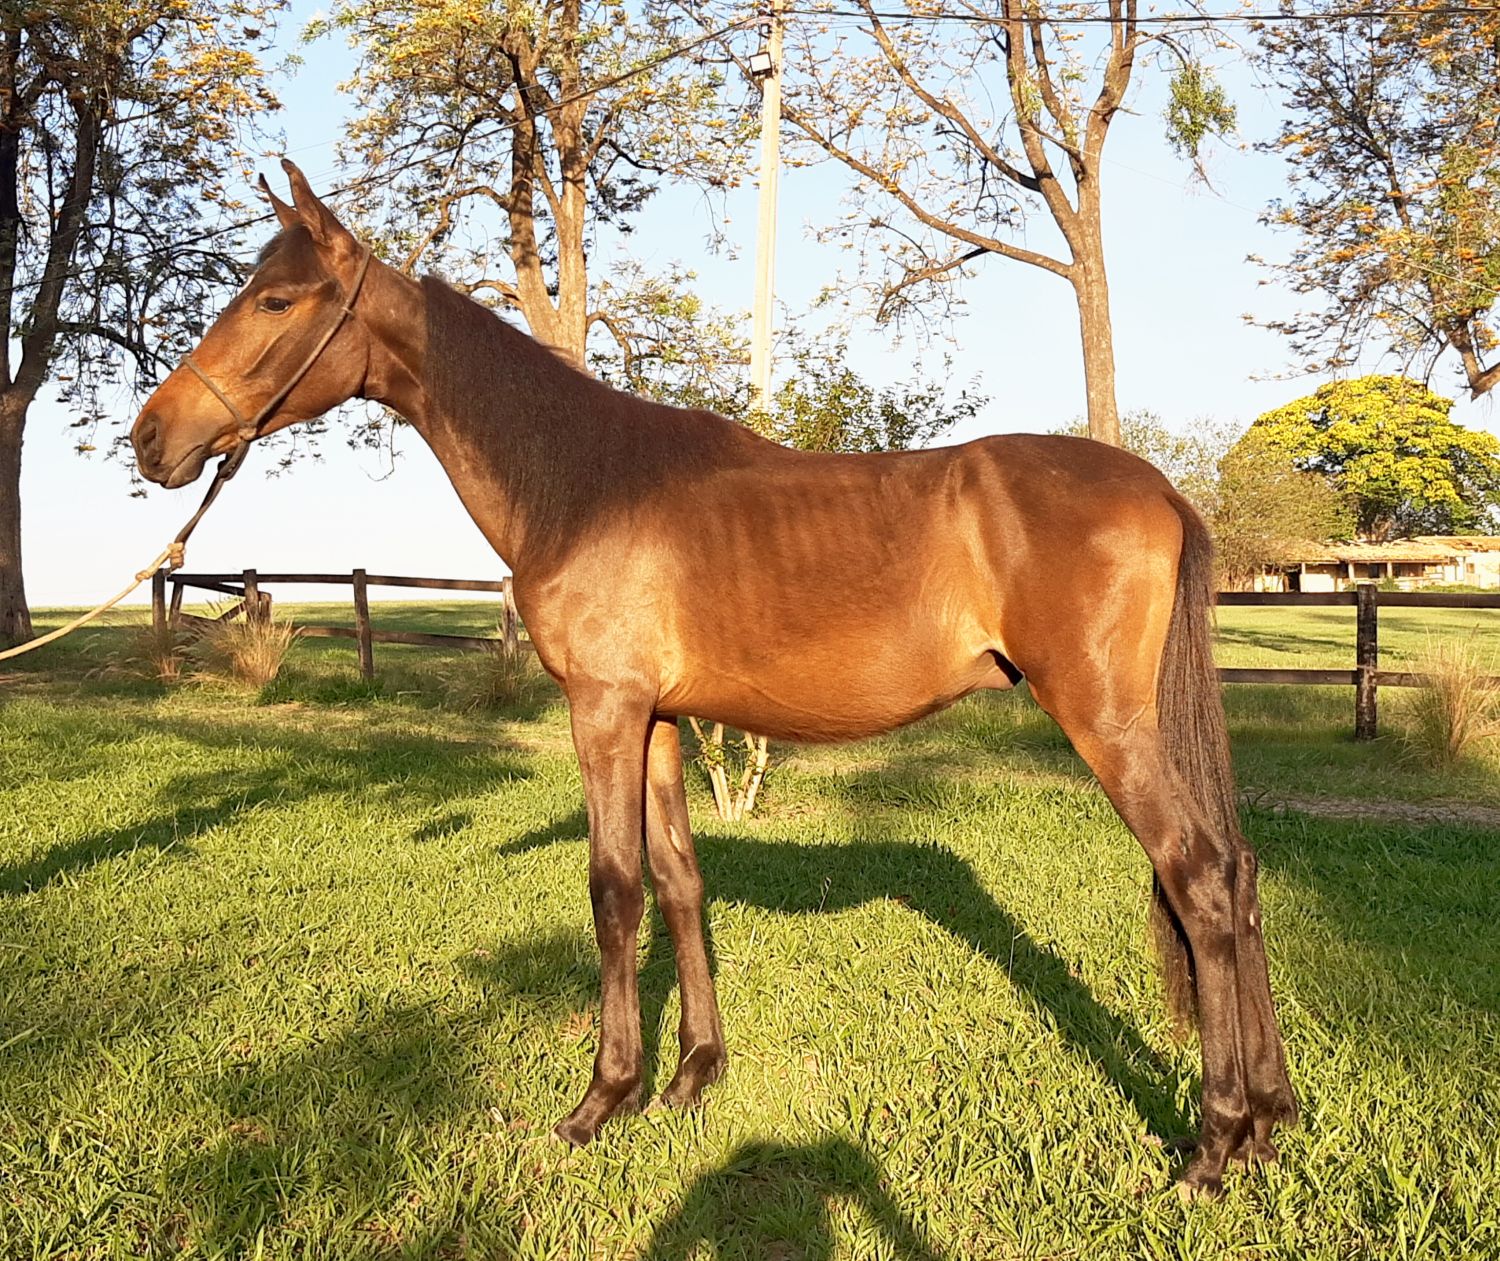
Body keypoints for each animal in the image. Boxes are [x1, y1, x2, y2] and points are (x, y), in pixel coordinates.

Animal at [130, 161, 1296, 1197]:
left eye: (276, 298)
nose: (150, 437)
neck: (585, 482)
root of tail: (1160, 490)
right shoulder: (655, 720)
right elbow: (680, 880)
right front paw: (692, 1075)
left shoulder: (602, 711)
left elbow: (612, 888)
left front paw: (602, 1099)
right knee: (1238, 872)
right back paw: (1273, 1115)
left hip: (1106, 721)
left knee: (1198, 875)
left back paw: (1213, 1143)